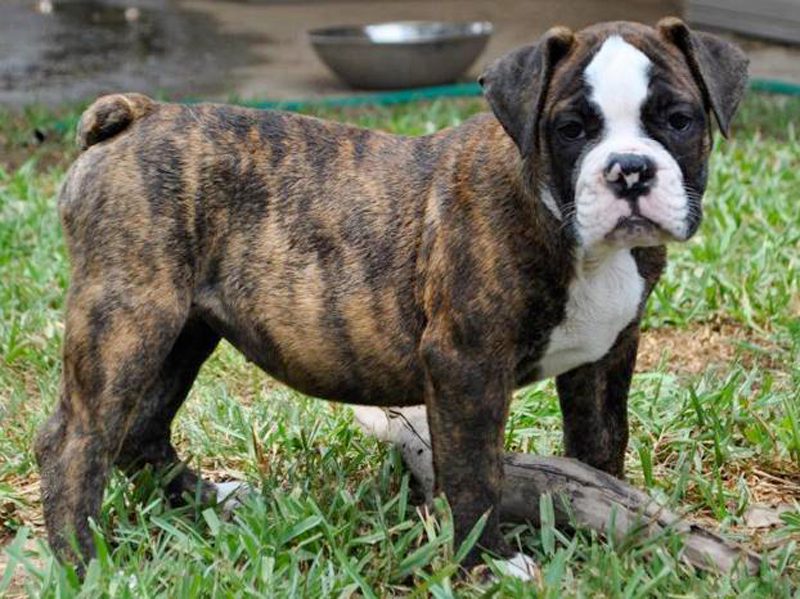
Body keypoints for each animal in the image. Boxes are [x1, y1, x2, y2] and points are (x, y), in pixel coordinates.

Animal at [36, 17, 752, 572]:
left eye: (679, 121)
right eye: (572, 128)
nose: (629, 170)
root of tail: (137, 116)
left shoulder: (605, 358)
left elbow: (601, 446)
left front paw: (615, 521)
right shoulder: (465, 366)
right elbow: (474, 470)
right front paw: (488, 562)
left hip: (183, 330)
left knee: (139, 429)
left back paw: (207, 501)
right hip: (129, 320)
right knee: (74, 442)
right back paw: (85, 565)